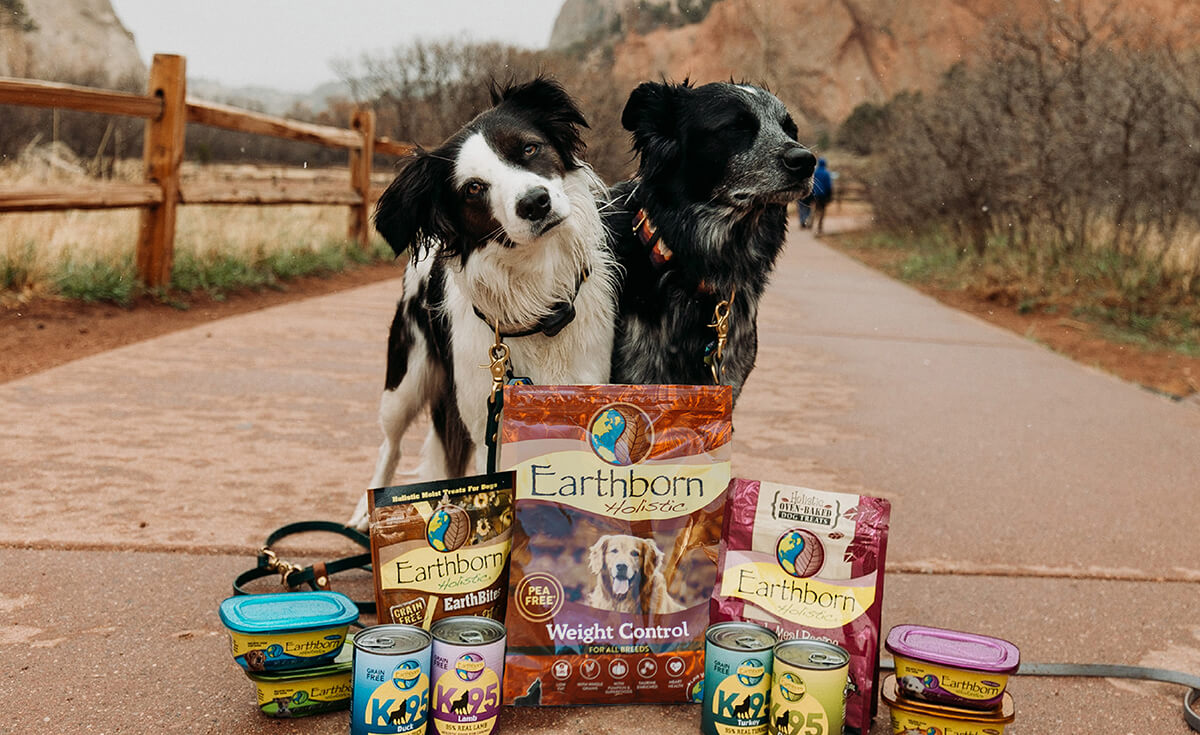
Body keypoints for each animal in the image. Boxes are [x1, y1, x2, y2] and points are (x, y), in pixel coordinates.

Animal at [345, 78, 609, 528]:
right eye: (473, 188)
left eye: (529, 148)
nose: (535, 202)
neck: (536, 299)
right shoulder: (487, 421)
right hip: (405, 382)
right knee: (389, 444)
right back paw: (367, 512)